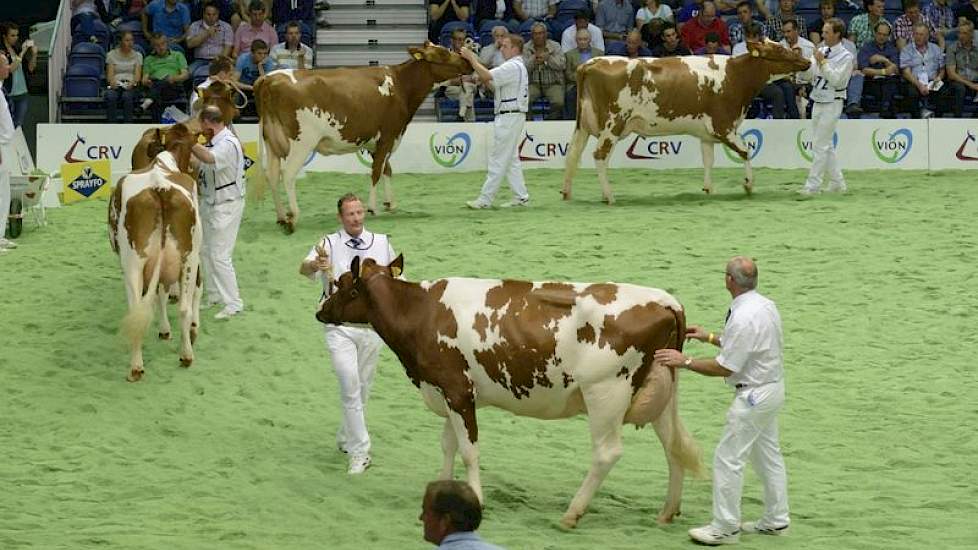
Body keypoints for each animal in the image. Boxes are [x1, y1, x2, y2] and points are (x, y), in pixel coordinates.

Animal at [108, 125, 204, 384]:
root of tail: (160, 186)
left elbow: (157, 297)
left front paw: (163, 329)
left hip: (132, 263)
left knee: (136, 310)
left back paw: (136, 366)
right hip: (189, 257)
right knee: (184, 307)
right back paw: (186, 355)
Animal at [254, 42, 470, 233]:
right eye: (443, 54)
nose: (467, 61)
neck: (400, 85)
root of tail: (268, 79)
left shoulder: (378, 142)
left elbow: (386, 170)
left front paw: (390, 203)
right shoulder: (389, 135)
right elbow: (376, 172)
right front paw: (372, 207)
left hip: (272, 141)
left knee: (272, 175)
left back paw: (281, 217)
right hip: (302, 142)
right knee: (288, 174)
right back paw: (293, 217)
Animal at [316, 256, 704, 528]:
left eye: (343, 284)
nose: (320, 311)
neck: (421, 312)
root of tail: (666, 301)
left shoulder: (457, 390)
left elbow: (468, 451)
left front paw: (475, 498)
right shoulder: (448, 391)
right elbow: (448, 445)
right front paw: (440, 491)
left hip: (606, 392)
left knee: (607, 453)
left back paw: (571, 514)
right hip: (661, 391)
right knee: (673, 446)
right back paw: (667, 512)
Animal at [560, 41, 812, 204]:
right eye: (779, 49)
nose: (807, 61)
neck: (735, 75)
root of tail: (589, 64)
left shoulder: (707, 132)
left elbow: (708, 160)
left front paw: (709, 189)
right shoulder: (724, 125)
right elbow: (745, 151)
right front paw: (748, 185)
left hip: (584, 125)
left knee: (572, 154)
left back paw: (567, 193)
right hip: (613, 124)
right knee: (599, 156)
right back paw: (609, 196)